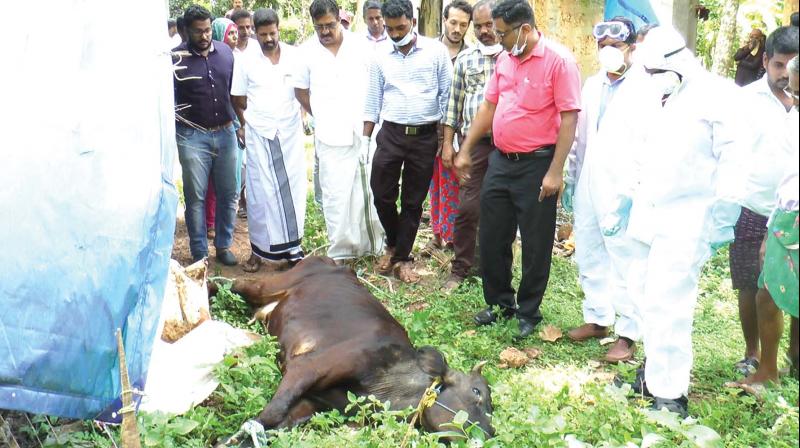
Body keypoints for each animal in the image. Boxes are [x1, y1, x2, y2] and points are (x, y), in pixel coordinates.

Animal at [216, 256, 496, 444]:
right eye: (476, 392)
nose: (490, 435)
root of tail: (333, 260)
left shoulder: (311, 404)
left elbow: (272, 424)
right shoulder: (306, 367)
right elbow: (271, 412)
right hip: (268, 285)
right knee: (231, 284)